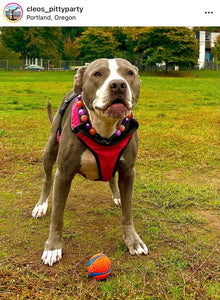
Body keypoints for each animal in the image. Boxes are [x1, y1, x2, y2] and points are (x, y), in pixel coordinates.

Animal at [32, 57, 148, 266]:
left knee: (112, 178)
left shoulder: (128, 172)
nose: (118, 85)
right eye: (97, 74)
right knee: (47, 178)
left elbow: (127, 213)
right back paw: (41, 205)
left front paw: (133, 241)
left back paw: (117, 196)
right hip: (50, 148)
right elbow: (57, 216)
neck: (105, 131)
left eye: (129, 73)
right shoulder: (64, 174)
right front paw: (53, 248)